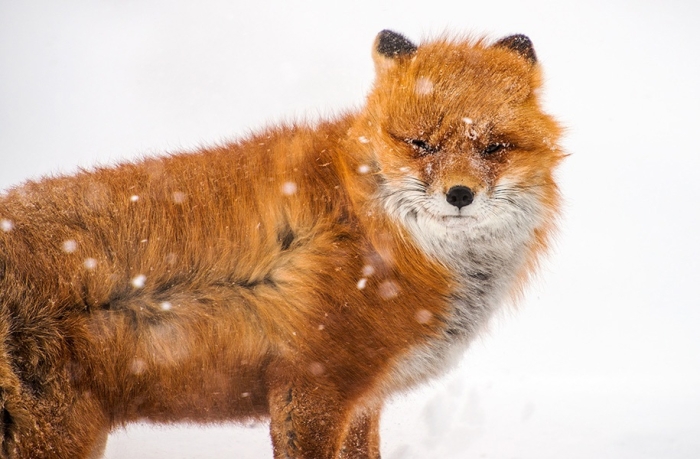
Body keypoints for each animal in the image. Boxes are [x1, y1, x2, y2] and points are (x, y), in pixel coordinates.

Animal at [0, 30, 562, 458]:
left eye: (494, 147)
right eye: (420, 144)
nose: (459, 195)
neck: (373, 229)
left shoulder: (364, 396)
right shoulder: (312, 382)